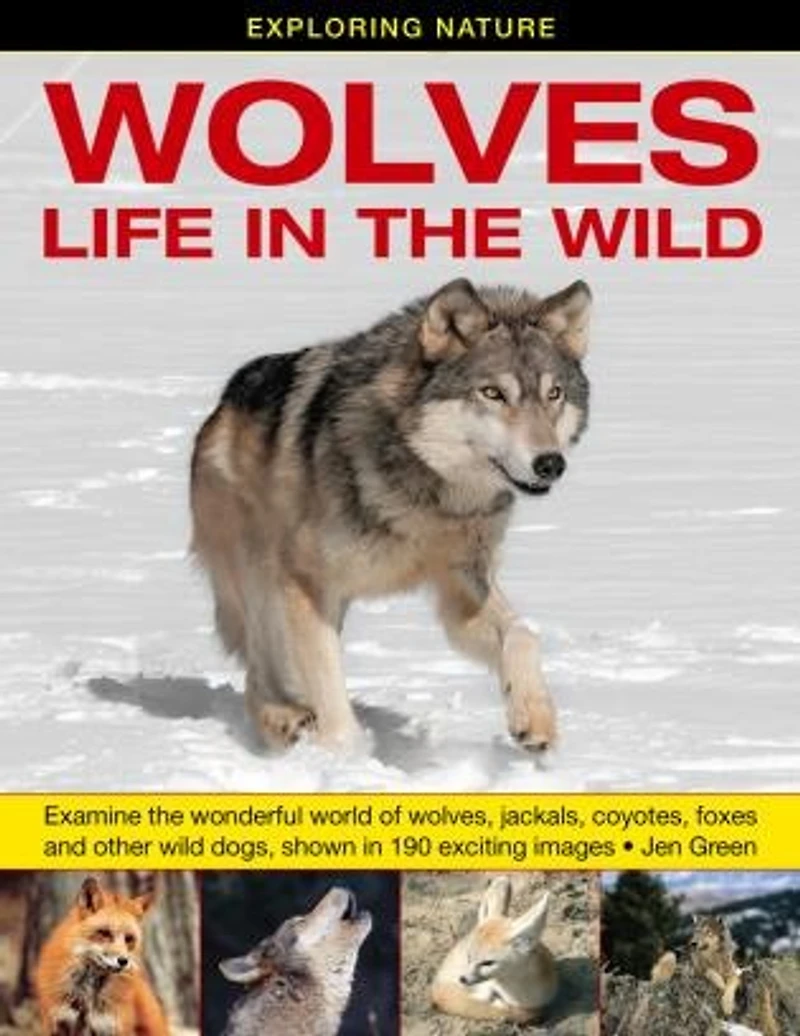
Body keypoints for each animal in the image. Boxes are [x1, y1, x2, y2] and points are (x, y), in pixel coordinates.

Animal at [34, 877, 168, 1036]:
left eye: (129, 939)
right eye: (104, 933)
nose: (123, 961)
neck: (88, 998)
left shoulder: (112, 1027)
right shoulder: (56, 1024)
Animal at [190, 277, 592, 756]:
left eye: (554, 394)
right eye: (493, 393)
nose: (550, 463)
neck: (428, 496)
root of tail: (224, 400)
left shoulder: (462, 585)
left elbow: (524, 635)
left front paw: (533, 718)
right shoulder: (306, 584)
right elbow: (332, 699)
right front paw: (346, 759)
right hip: (260, 577)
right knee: (258, 670)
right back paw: (282, 720)